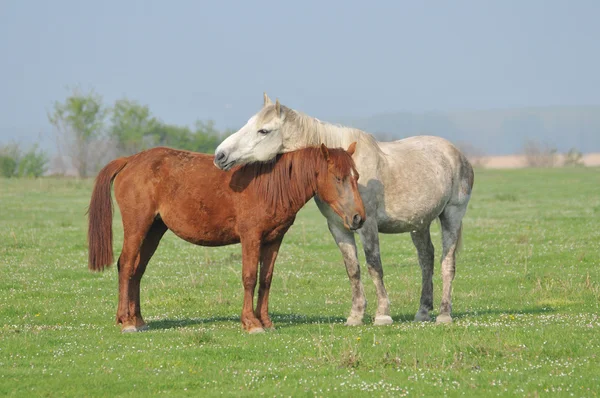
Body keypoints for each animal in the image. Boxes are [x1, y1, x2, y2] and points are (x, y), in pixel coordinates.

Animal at [86, 143, 364, 332]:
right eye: (338, 178)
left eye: (357, 176)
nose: (358, 218)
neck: (270, 186)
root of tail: (129, 160)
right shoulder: (251, 237)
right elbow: (250, 278)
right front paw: (251, 323)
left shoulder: (273, 240)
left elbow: (266, 280)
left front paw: (266, 321)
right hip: (138, 226)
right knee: (126, 266)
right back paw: (126, 321)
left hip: (154, 230)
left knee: (137, 270)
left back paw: (139, 320)